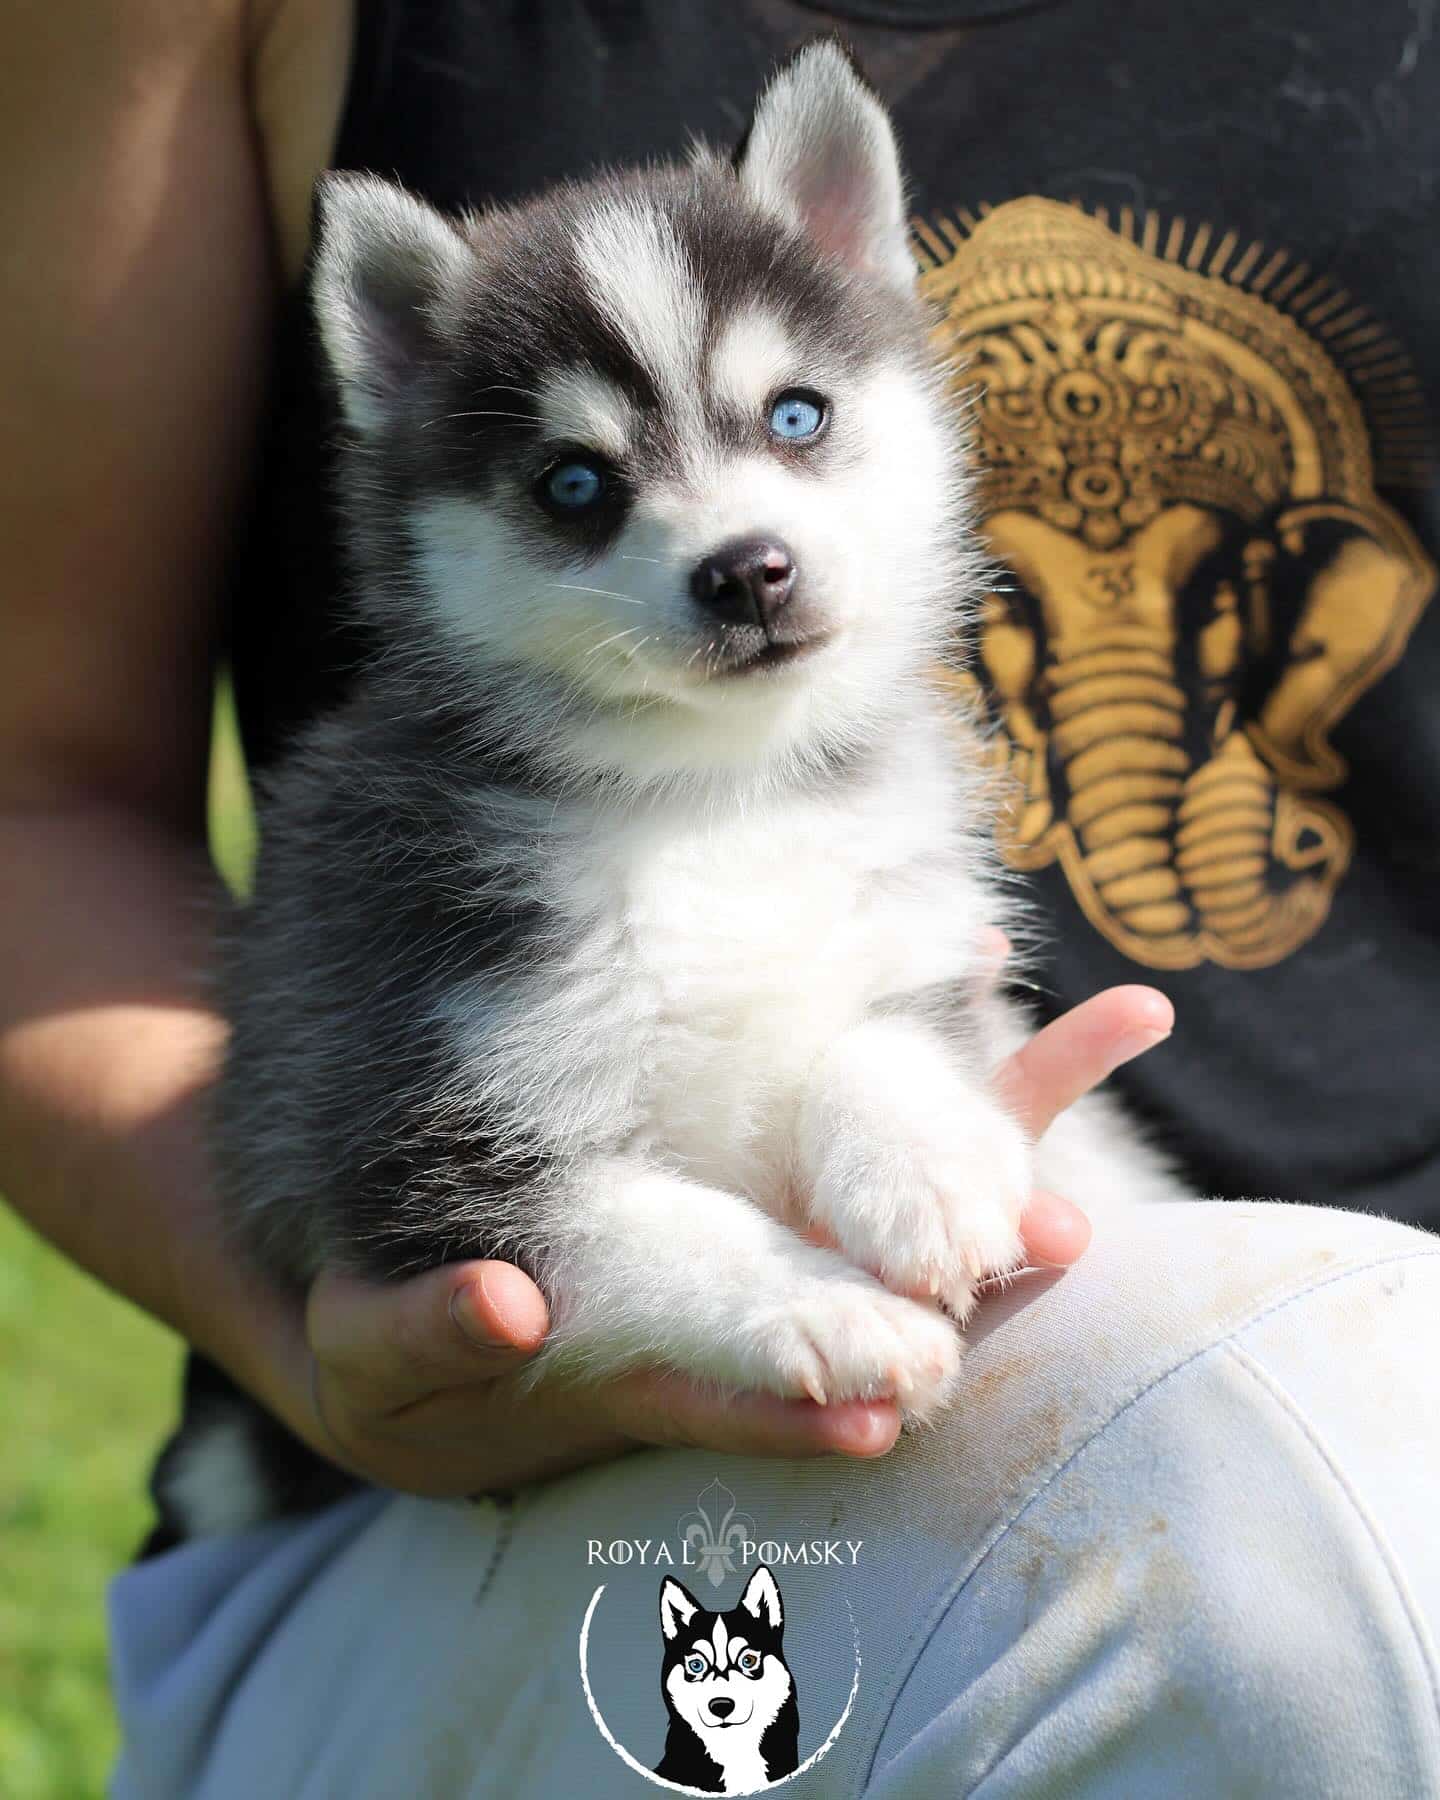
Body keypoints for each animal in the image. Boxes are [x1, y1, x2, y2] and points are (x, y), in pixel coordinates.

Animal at [165, 42, 1180, 1533]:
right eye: (575, 484)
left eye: (797, 414)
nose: (747, 569)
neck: (713, 795)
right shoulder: (403, 1133)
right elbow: (645, 1223)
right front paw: (822, 1305)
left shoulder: (918, 933)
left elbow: (880, 1034)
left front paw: (923, 1167)